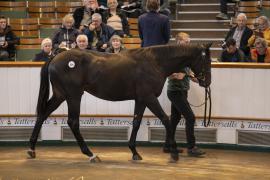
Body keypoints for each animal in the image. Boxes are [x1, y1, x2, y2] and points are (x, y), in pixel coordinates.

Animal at [28, 44, 212, 162]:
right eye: (206, 61)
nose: (207, 82)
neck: (155, 62)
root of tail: (55, 56)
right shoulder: (149, 97)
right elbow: (166, 120)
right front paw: (174, 152)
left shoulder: (141, 99)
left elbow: (136, 122)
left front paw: (134, 151)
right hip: (73, 96)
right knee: (73, 122)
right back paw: (91, 154)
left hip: (60, 95)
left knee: (42, 114)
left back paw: (31, 149)